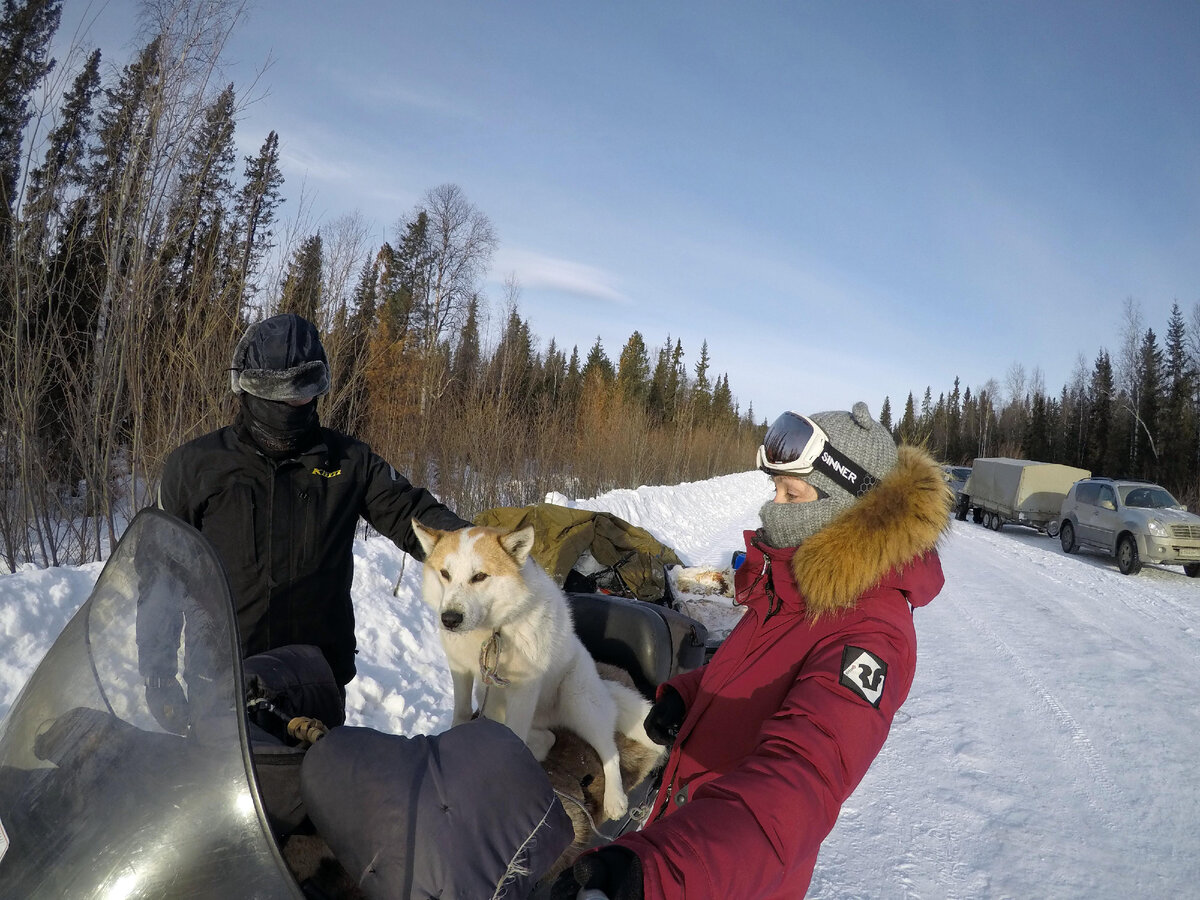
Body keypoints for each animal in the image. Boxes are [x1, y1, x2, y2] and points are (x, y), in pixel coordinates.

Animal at [410, 520, 657, 825]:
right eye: (445, 574)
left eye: (479, 576)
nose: (450, 619)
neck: (492, 632)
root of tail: (604, 685)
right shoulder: (462, 672)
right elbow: (461, 713)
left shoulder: (523, 688)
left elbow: (515, 734)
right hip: (490, 699)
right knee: (547, 737)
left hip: (579, 702)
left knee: (609, 751)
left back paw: (615, 799)